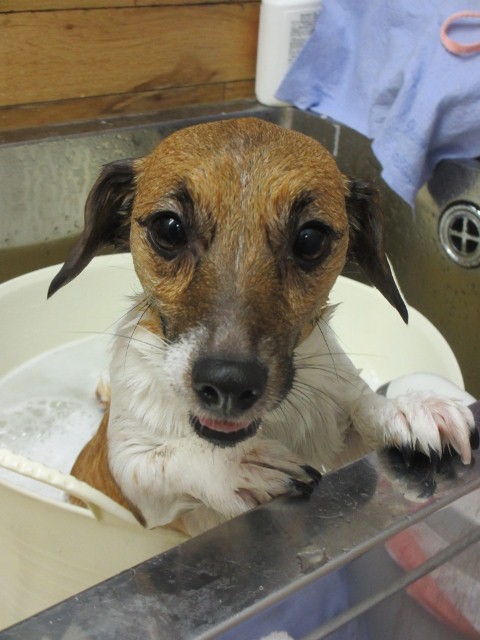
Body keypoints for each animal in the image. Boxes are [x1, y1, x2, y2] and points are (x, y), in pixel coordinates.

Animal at [48, 118, 477, 535]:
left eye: (310, 239)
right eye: (168, 228)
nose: (228, 384)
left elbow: (363, 409)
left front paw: (406, 409)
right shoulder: (131, 472)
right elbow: (169, 458)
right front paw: (233, 467)